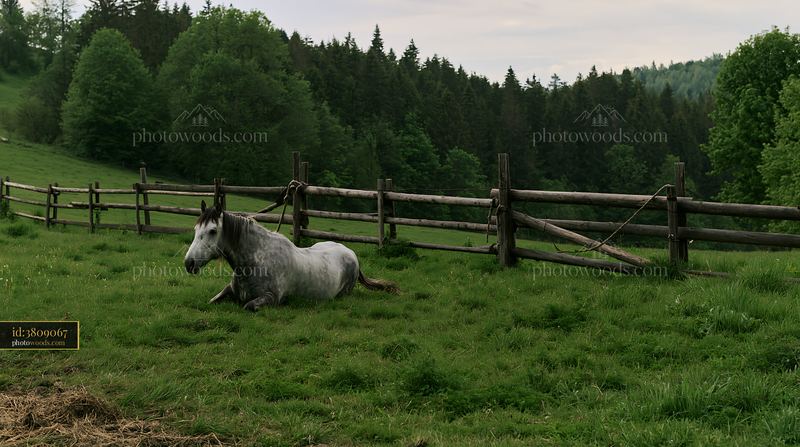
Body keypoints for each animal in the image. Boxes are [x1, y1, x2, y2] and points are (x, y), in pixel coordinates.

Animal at [183, 200, 398, 311]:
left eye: (212, 231)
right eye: (195, 229)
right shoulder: (229, 291)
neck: (254, 261)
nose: (188, 263)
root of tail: (351, 253)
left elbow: (248, 306)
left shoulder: (271, 298)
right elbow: (212, 301)